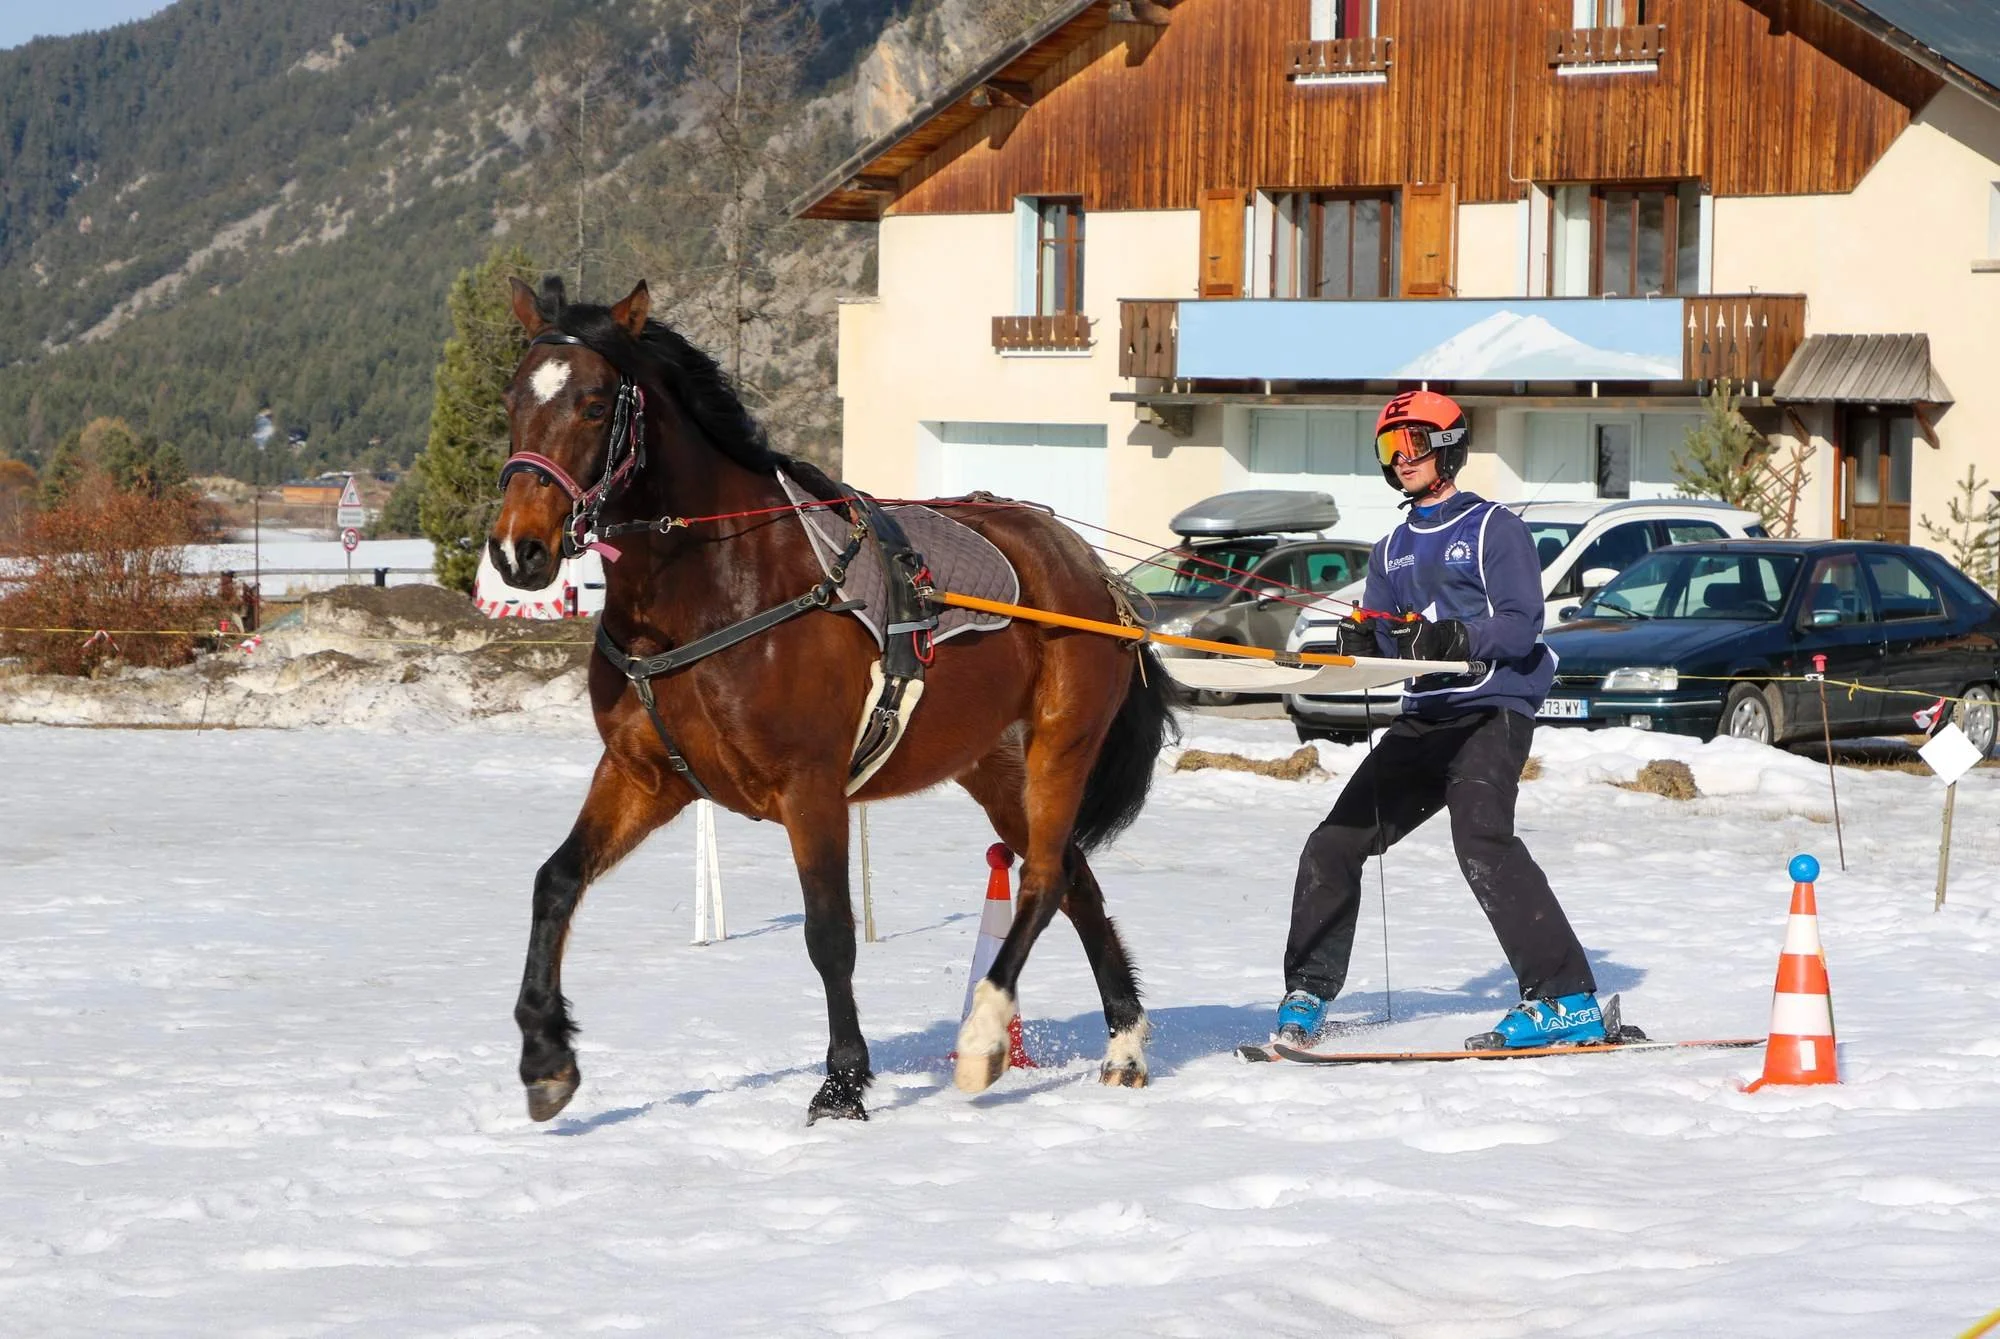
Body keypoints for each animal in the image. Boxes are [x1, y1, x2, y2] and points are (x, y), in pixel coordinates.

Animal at [487, 275, 1177, 1124]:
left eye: (591, 404)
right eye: (513, 398)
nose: (518, 548)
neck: (720, 584)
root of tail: (1091, 569)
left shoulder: (809, 786)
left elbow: (829, 932)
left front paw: (843, 1082)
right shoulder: (644, 777)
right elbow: (555, 881)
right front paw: (545, 1053)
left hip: (1062, 745)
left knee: (1045, 879)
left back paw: (985, 1036)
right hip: (996, 768)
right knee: (1076, 880)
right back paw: (1124, 1043)